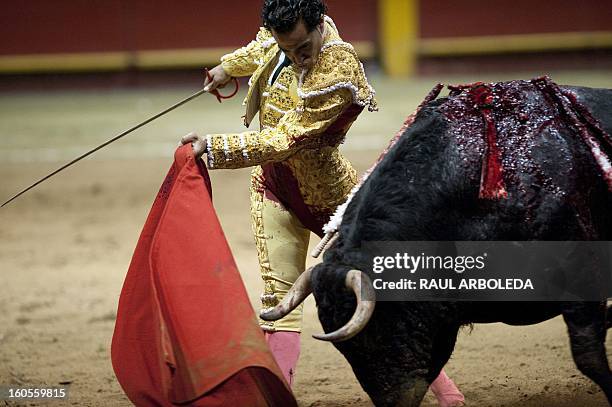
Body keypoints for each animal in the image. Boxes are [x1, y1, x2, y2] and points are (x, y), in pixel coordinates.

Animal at [262, 78, 612, 406]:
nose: (392, 402)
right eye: (344, 349)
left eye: (380, 331)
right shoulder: (441, 317)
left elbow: (588, 356)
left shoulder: (580, 277)